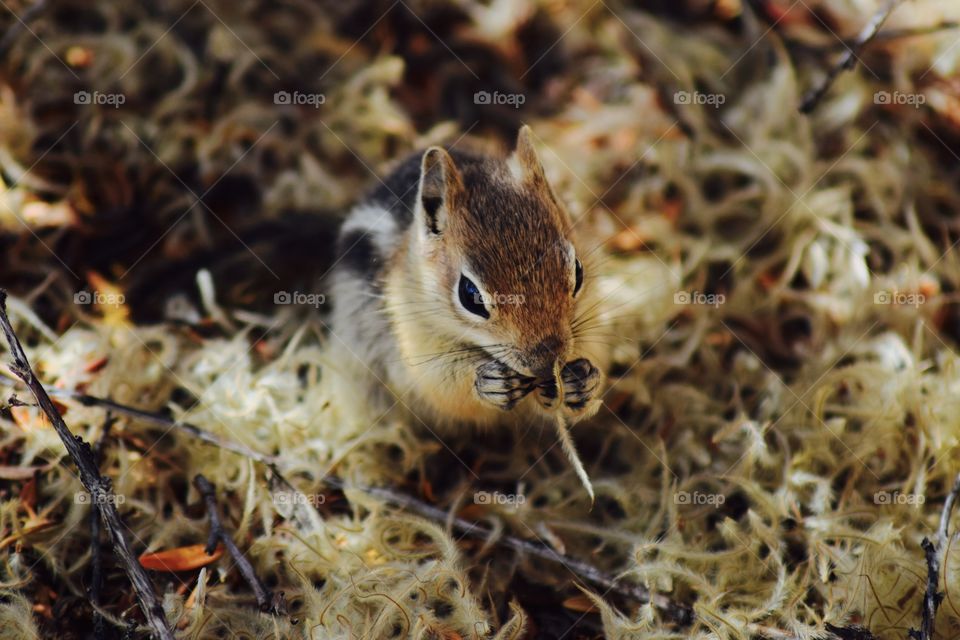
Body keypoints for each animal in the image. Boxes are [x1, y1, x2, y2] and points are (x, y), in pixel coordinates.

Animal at [329, 126, 607, 429]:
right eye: (469, 295)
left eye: (578, 272)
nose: (547, 364)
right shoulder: (415, 339)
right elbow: (444, 388)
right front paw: (489, 382)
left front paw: (583, 381)